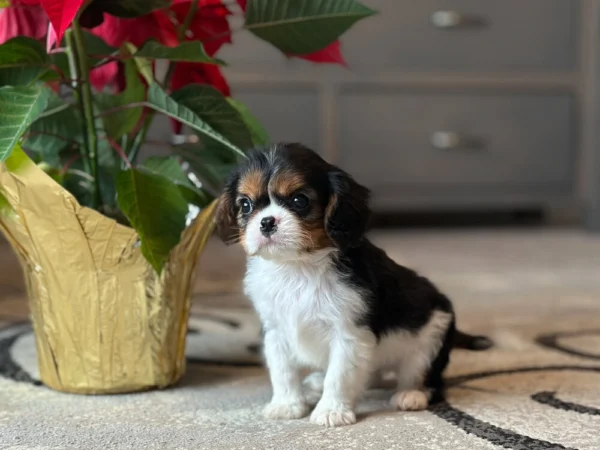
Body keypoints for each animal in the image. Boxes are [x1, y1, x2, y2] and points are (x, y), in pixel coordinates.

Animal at [213, 143, 490, 426]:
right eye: (245, 205)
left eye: (300, 201)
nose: (266, 221)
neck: (297, 266)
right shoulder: (275, 331)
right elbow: (283, 372)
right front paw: (287, 405)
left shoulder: (348, 333)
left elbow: (339, 376)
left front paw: (331, 410)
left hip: (432, 337)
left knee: (427, 378)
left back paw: (411, 394)